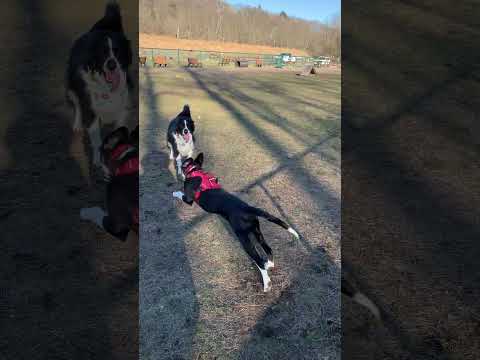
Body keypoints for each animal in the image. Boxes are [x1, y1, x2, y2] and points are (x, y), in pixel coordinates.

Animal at [65, 0, 132, 169]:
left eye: (117, 51)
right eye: (102, 52)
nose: (111, 65)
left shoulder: (122, 109)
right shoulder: (92, 111)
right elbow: (96, 141)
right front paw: (98, 161)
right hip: (72, 88)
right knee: (77, 104)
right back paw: (77, 124)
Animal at [172, 153, 300, 292]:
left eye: (183, 161)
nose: (177, 158)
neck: (195, 171)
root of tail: (247, 208)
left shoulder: (189, 199)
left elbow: (181, 194)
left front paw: (175, 192)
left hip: (244, 239)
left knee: (259, 261)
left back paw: (266, 284)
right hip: (256, 231)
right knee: (268, 249)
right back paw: (269, 264)